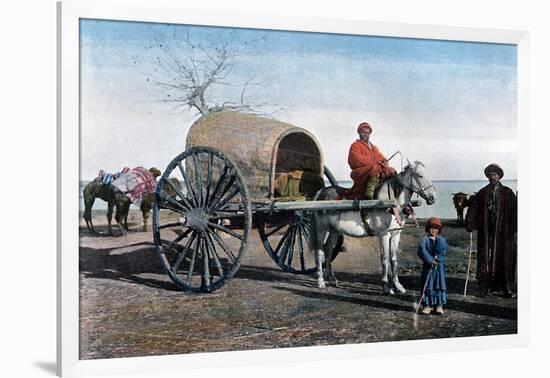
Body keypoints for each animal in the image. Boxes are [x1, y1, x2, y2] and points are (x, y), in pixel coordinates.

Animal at [310, 161, 436, 294]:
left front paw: (398, 285)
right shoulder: (384, 235)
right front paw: (386, 285)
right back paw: (321, 281)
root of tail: (321, 192)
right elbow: (385, 258)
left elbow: (394, 259)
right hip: (321, 228)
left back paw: (332, 279)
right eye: (419, 175)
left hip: (334, 230)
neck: (390, 203)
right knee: (319, 251)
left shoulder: (396, 234)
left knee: (328, 250)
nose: (433, 197)